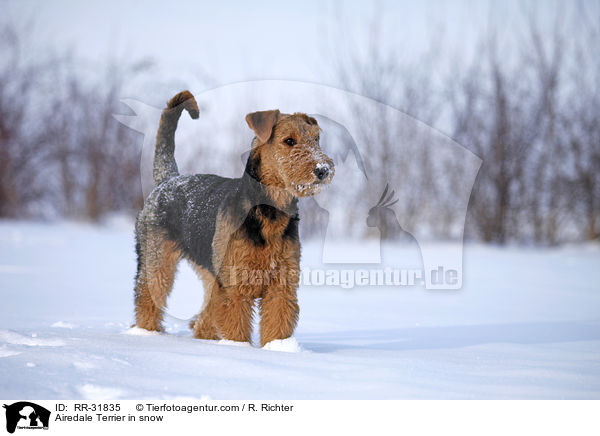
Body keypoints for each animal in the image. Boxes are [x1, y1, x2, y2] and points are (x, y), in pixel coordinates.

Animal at [133, 90, 336, 346]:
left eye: (316, 139)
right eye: (289, 140)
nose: (322, 170)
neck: (269, 211)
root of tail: (168, 180)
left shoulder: (281, 285)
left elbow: (277, 325)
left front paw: (278, 348)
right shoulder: (235, 285)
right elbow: (236, 327)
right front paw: (238, 349)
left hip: (210, 272)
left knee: (202, 319)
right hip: (157, 261)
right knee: (147, 298)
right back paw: (146, 334)